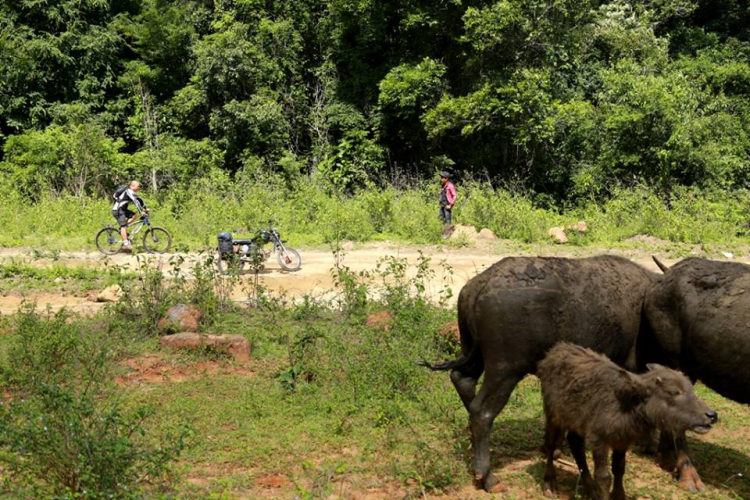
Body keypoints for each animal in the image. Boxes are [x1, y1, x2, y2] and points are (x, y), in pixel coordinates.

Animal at [424, 256, 656, 490]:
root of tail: (481, 284)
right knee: (481, 410)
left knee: (462, 380)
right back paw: (487, 476)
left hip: (472, 351)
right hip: (505, 369)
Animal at [540, 342, 716, 500]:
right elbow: (604, 477)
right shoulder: (598, 439)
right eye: (673, 392)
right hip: (552, 415)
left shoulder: (622, 441)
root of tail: (556, 350)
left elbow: (619, 469)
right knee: (550, 444)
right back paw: (549, 483)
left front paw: (619, 495)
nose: (712, 415)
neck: (627, 405)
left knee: (575, 443)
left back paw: (590, 488)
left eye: (691, 389)